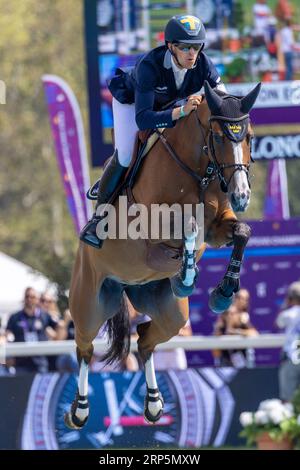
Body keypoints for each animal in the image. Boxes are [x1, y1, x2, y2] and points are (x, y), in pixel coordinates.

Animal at [65, 81, 260, 430]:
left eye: (248, 136)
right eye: (219, 136)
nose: (241, 195)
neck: (198, 170)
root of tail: (125, 287)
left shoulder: (218, 227)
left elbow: (241, 233)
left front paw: (222, 294)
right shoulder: (152, 232)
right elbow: (188, 227)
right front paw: (187, 276)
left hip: (171, 314)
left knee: (145, 339)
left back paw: (154, 404)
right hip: (88, 304)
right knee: (85, 348)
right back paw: (80, 411)